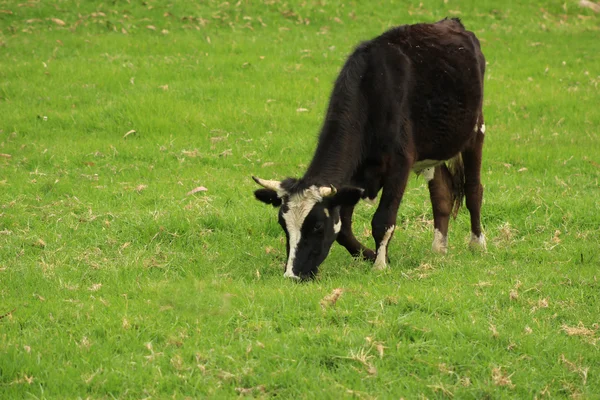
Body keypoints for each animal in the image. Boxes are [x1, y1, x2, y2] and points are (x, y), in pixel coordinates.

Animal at [253, 18, 488, 280]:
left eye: (317, 226)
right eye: (283, 225)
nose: (292, 275)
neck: (370, 90)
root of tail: (450, 22)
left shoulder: (399, 164)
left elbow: (383, 220)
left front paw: (380, 265)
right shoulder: (353, 179)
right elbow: (344, 229)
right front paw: (370, 255)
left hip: (476, 129)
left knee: (473, 189)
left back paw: (477, 244)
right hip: (433, 151)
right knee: (442, 196)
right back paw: (438, 249)